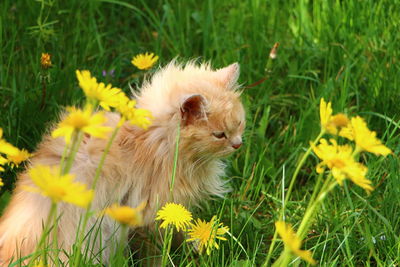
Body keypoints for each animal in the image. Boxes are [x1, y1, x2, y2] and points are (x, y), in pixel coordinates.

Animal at [0, 60, 245, 264]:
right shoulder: (152, 217)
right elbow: (158, 252)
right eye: (219, 135)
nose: (238, 144)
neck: (151, 140)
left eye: (240, 124)